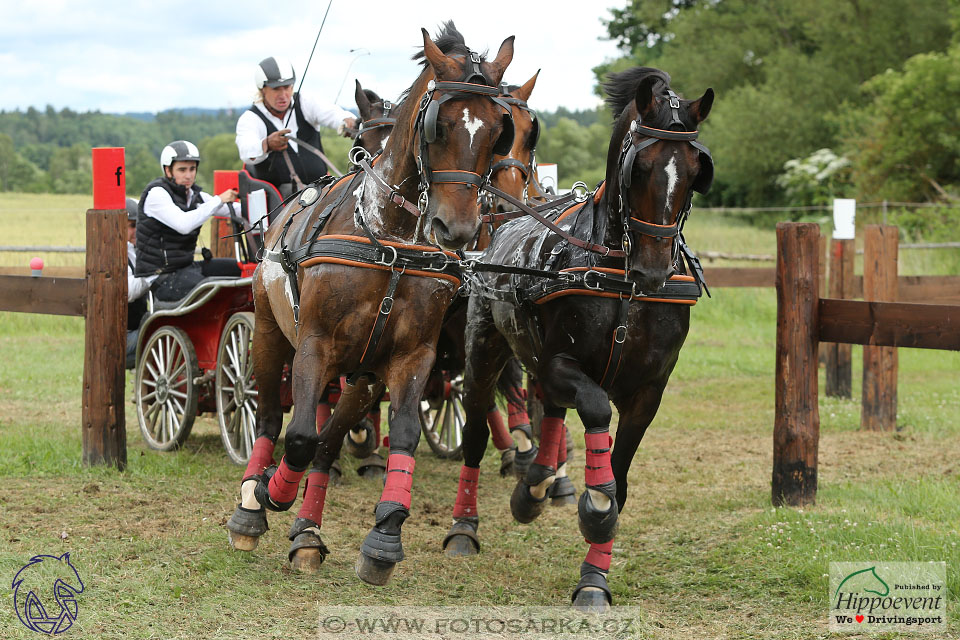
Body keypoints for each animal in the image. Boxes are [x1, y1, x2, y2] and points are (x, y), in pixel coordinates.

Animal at [225, 23, 516, 584]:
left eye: (498, 131)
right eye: (440, 126)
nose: (458, 229)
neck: (389, 238)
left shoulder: (409, 357)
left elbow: (400, 435)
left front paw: (385, 535)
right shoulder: (314, 345)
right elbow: (298, 435)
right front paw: (271, 493)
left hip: (362, 373)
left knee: (329, 440)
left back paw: (307, 532)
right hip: (270, 336)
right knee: (271, 419)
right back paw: (251, 505)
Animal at [442, 67, 712, 612]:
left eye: (695, 170)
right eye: (641, 165)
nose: (654, 271)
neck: (621, 283)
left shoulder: (649, 392)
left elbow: (620, 481)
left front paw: (595, 575)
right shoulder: (559, 364)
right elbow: (595, 411)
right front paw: (593, 504)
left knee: (549, 416)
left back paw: (538, 484)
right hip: (483, 353)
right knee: (479, 433)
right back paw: (466, 525)